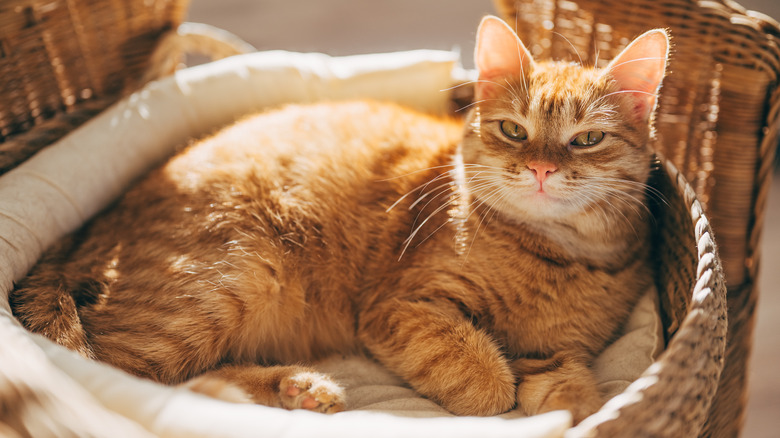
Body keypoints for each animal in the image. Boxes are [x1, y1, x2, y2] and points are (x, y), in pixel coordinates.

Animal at [10, 16, 672, 420]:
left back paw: (296, 387)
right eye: (514, 130)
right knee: (132, 380)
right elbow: (487, 380)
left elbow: (576, 394)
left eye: (587, 139)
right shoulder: (400, 307)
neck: (558, 256)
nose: (540, 169)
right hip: (232, 278)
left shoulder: (559, 354)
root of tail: (98, 223)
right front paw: (494, 383)